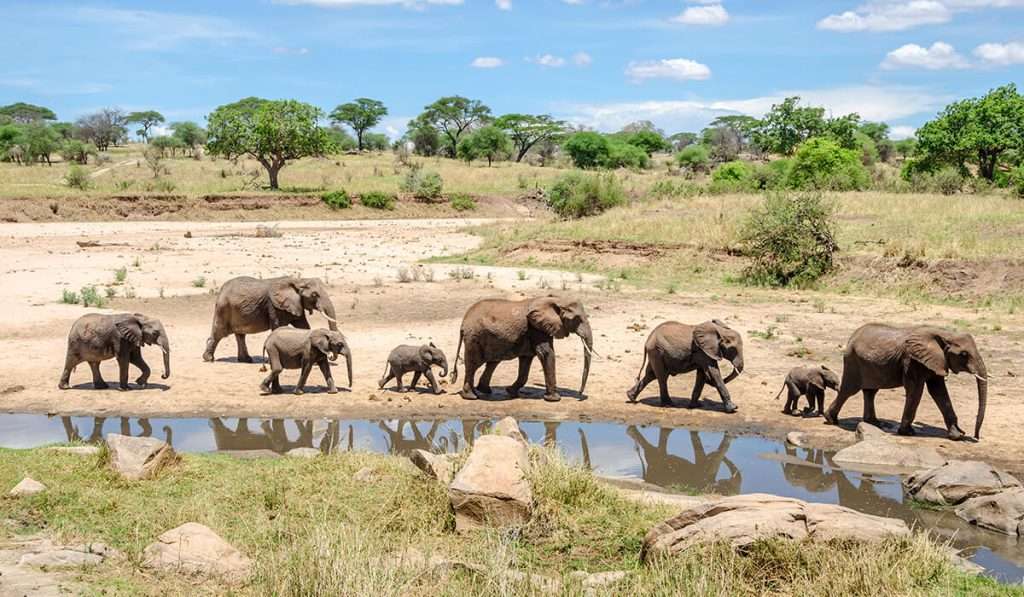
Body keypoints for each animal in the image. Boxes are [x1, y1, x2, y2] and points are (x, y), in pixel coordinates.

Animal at [203, 276, 338, 363]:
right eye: (314, 295)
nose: (331, 357)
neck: (298, 280)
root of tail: (221, 291)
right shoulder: (275, 306)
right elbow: (279, 327)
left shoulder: (295, 304)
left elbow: (303, 326)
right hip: (223, 308)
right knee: (219, 332)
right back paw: (209, 359)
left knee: (240, 335)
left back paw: (246, 360)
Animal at [450, 295, 593, 402]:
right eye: (577, 319)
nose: (579, 393)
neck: (556, 299)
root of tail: (463, 322)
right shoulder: (536, 328)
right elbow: (546, 353)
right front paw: (554, 399)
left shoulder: (538, 329)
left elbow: (526, 359)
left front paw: (511, 392)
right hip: (474, 338)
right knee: (473, 364)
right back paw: (471, 396)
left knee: (492, 362)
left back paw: (484, 390)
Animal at [823, 323, 988, 440]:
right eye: (964, 354)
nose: (976, 436)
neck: (944, 333)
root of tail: (852, 336)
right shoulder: (912, 360)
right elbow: (916, 390)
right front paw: (907, 432)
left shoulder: (936, 361)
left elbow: (939, 391)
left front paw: (957, 435)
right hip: (853, 361)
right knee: (849, 390)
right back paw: (831, 419)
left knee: (870, 391)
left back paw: (874, 423)